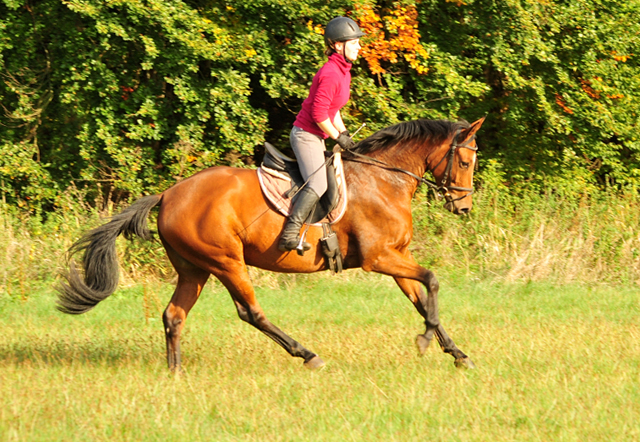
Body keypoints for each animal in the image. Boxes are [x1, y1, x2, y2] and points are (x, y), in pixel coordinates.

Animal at [56, 116, 484, 370]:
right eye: (465, 162)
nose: (464, 207)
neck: (384, 179)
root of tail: (168, 194)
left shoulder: (396, 255)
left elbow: (420, 297)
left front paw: (457, 353)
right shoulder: (379, 257)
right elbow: (432, 282)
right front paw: (427, 339)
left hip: (194, 268)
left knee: (174, 315)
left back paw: (174, 371)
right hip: (226, 261)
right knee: (251, 312)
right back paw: (307, 354)